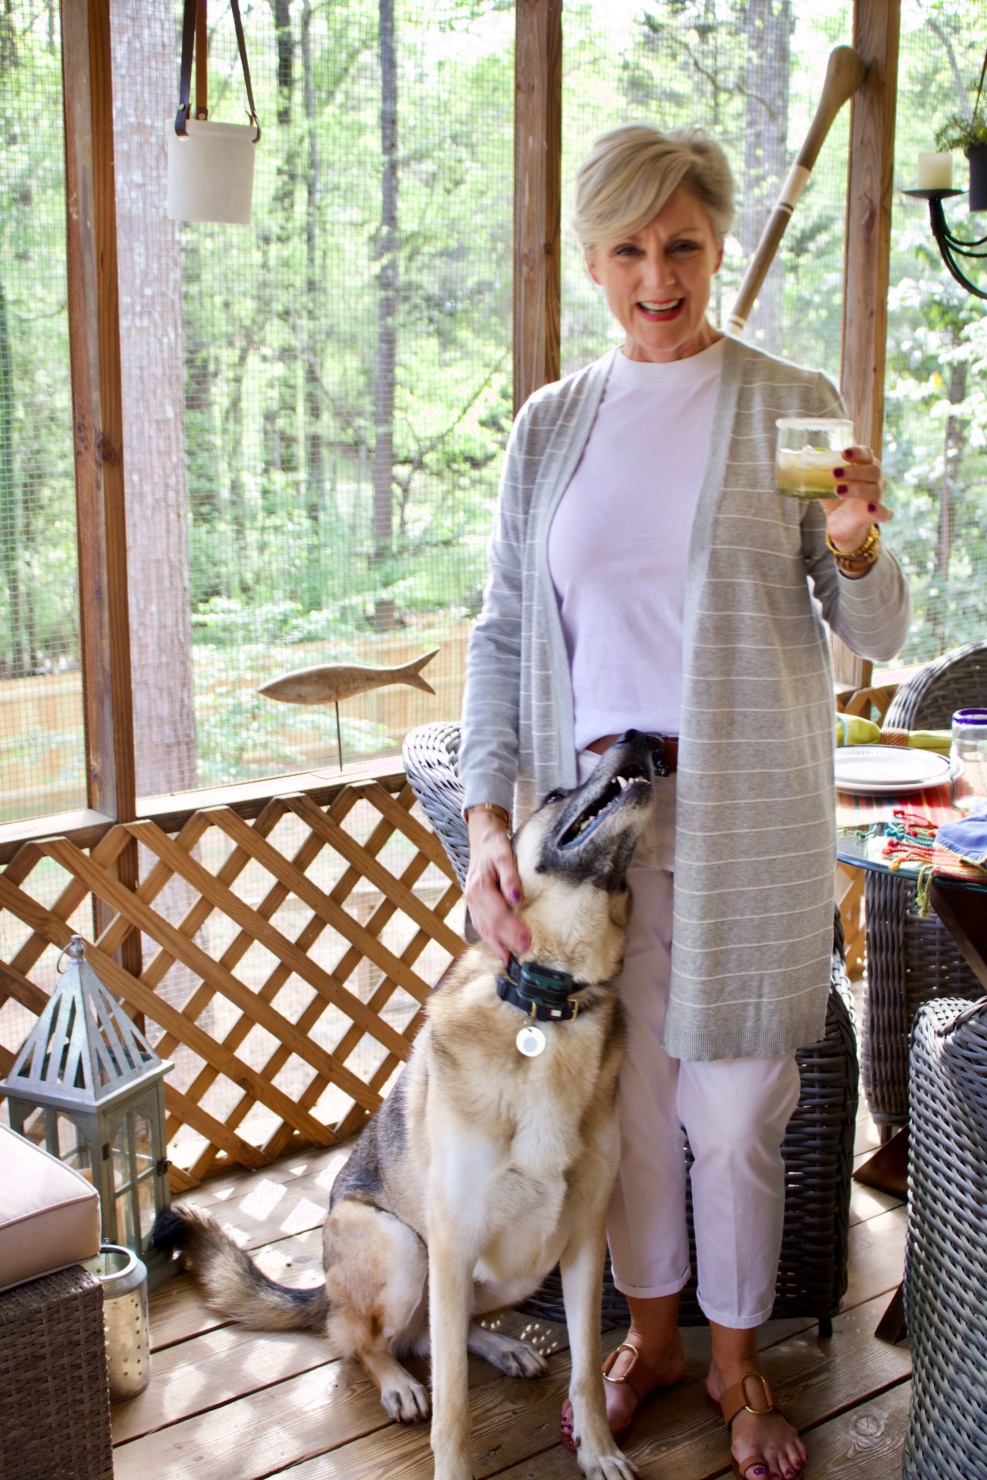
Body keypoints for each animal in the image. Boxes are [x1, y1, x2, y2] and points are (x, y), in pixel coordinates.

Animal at [154, 731, 657, 1480]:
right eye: (556, 793)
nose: (643, 737)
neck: (546, 1007)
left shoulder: (582, 1242)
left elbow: (588, 1372)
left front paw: (597, 1449)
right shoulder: (449, 1246)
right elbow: (452, 1403)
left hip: (518, 1266)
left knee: (433, 1334)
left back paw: (501, 1346)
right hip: (400, 1249)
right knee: (364, 1340)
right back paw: (393, 1381)